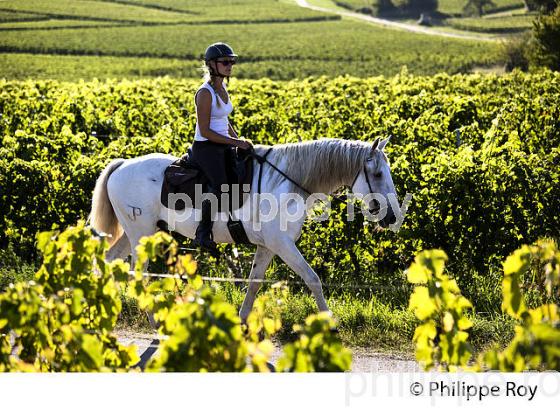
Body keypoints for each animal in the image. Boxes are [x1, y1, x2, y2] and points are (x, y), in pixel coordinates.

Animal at [89, 138, 396, 320]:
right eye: (378, 174)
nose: (392, 216)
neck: (287, 181)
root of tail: (121, 165)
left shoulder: (267, 246)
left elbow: (254, 283)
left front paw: (242, 320)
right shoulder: (283, 245)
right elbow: (312, 278)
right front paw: (329, 321)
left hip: (138, 233)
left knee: (109, 260)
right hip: (141, 234)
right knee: (136, 274)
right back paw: (152, 318)